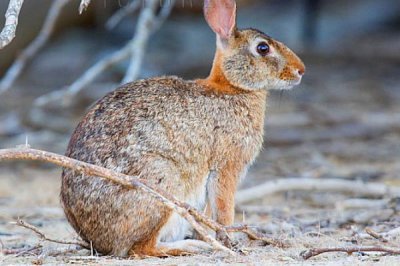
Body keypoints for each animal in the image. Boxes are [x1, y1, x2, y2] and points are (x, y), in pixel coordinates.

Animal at [60, 0, 304, 258]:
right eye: (263, 48)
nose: (301, 70)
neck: (233, 87)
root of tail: (98, 241)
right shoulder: (226, 167)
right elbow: (224, 209)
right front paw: (228, 241)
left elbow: (209, 213)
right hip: (161, 183)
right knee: (142, 248)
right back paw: (191, 246)